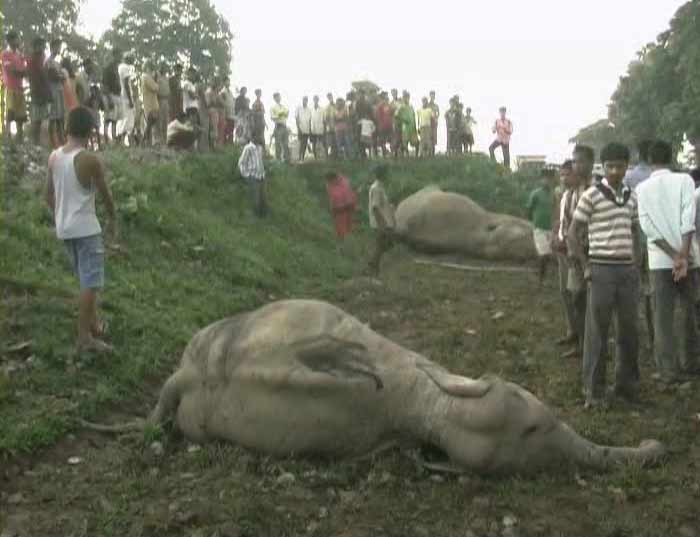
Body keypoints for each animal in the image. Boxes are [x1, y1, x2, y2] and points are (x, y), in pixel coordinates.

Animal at [85, 302, 664, 474]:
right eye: (535, 426)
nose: (654, 444)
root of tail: (188, 374)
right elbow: (321, 352)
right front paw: (351, 364)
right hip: (197, 354)